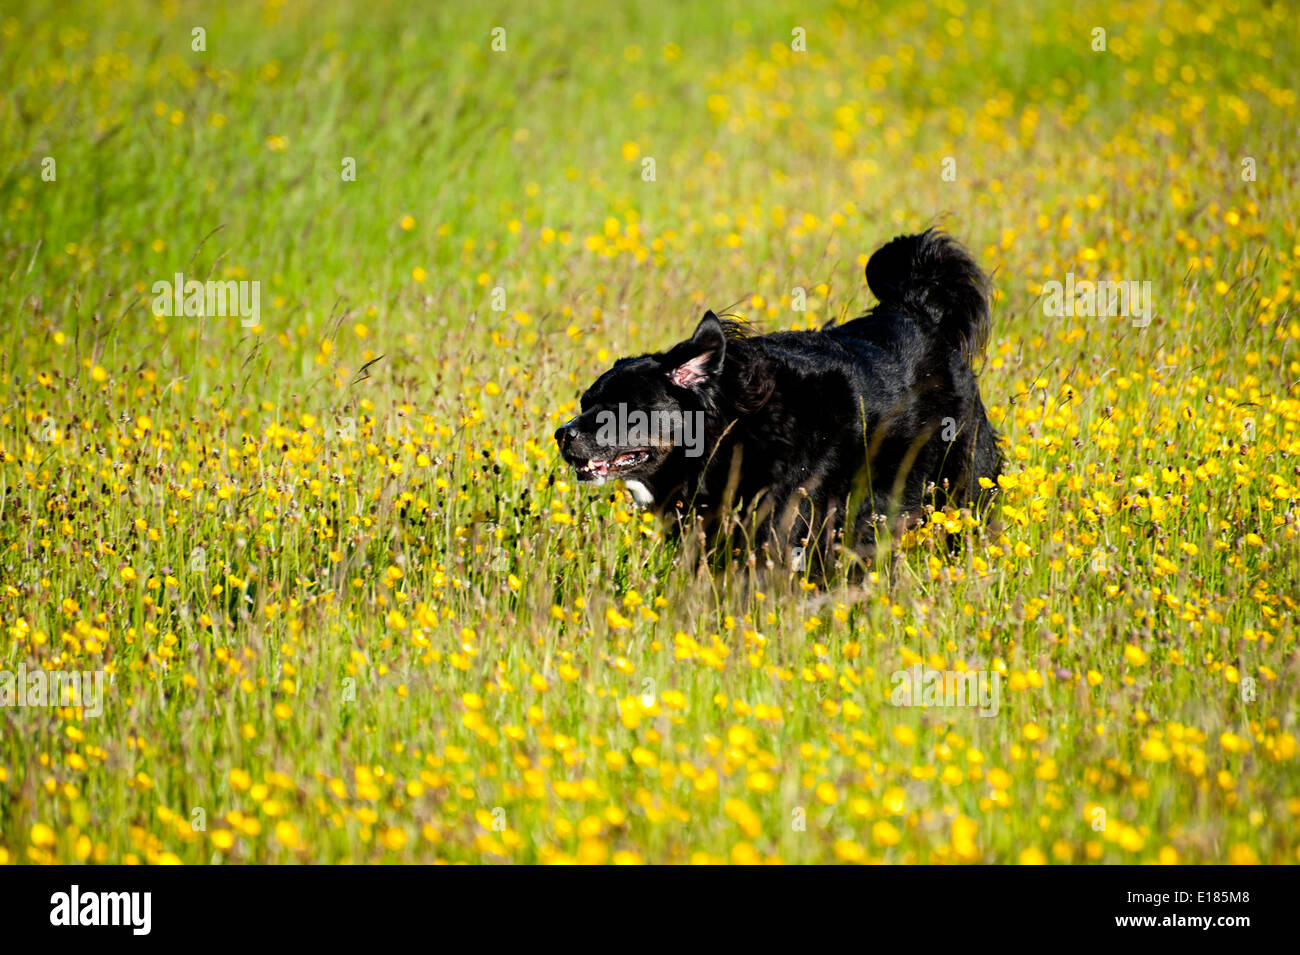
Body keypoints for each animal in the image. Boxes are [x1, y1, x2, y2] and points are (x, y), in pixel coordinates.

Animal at [553, 227, 998, 566]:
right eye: (585, 403)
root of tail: (918, 309)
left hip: (963, 486)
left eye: (620, 408)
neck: (729, 432)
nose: (562, 434)